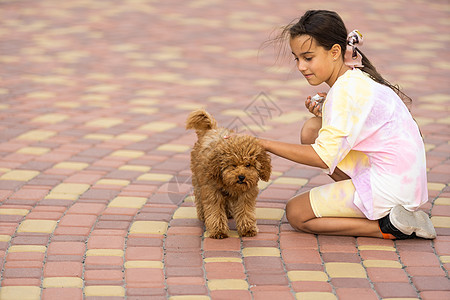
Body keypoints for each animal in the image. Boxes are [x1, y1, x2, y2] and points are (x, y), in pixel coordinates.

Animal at [185, 109, 270, 239]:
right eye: (233, 165)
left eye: (248, 165)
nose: (241, 177)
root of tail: (212, 129)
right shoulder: (212, 191)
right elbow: (215, 211)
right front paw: (218, 231)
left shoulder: (246, 194)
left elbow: (245, 211)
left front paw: (248, 228)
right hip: (197, 178)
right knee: (199, 197)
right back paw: (203, 215)